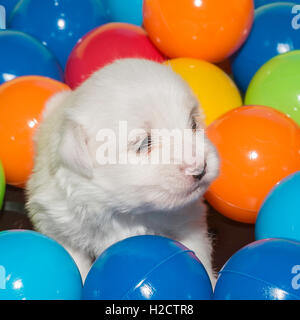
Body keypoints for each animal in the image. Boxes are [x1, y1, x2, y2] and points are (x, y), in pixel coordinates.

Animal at [25, 58, 219, 284]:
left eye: (194, 124)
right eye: (145, 143)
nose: (201, 168)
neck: (125, 212)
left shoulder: (187, 220)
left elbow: (198, 251)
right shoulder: (60, 226)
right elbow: (76, 261)